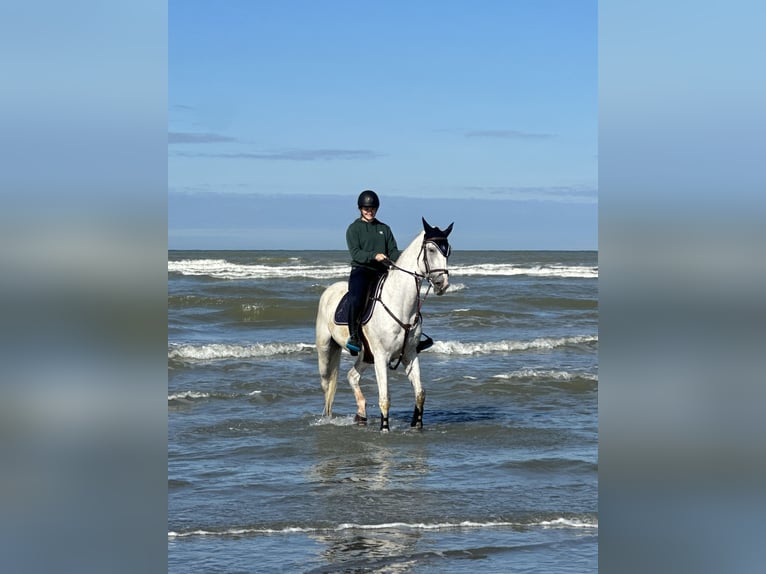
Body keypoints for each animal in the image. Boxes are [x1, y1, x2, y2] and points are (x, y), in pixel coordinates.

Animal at [316, 219, 452, 432]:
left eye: (448, 251)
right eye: (431, 249)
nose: (442, 284)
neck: (400, 303)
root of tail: (329, 290)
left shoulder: (410, 355)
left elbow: (420, 393)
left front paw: (417, 425)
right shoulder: (381, 356)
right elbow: (385, 397)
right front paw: (384, 429)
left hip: (366, 356)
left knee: (352, 376)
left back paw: (361, 414)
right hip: (326, 349)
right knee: (327, 384)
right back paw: (328, 418)